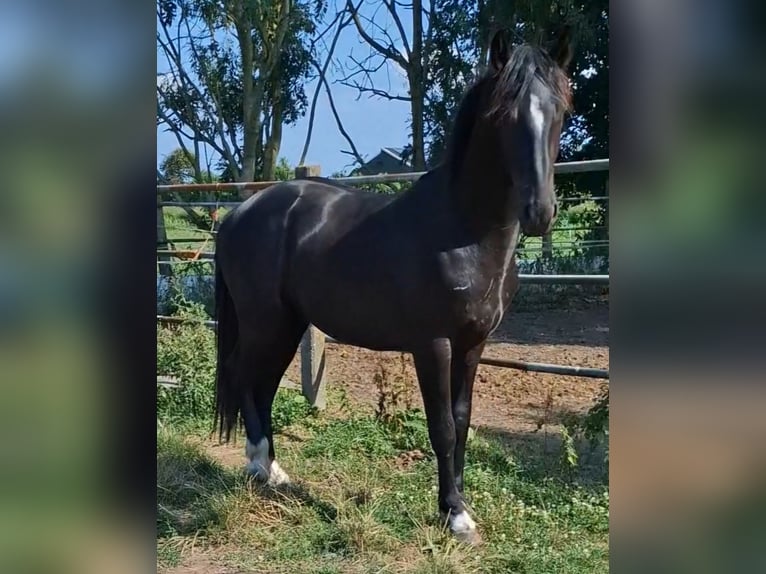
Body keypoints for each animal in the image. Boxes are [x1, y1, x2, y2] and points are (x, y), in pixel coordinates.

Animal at [214, 27, 573, 545]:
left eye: (562, 108)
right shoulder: (433, 344)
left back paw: (273, 472)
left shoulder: (473, 344)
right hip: (266, 322)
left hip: (287, 324)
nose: (539, 212)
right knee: (248, 378)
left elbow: (462, 422)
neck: (460, 230)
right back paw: (261, 466)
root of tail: (239, 213)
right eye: (504, 113)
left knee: (263, 384)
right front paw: (454, 517)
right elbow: (441, 427)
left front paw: (459, 507)